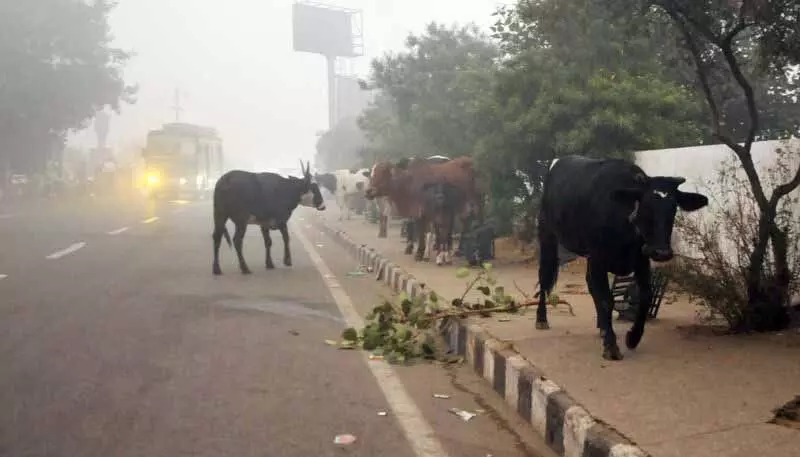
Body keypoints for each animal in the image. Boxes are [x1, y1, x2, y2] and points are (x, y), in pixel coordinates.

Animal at [536, 156, 708, 360]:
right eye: (646, 206)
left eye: (673, 208)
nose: (662, 252)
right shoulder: (599, 257)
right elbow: (606, 300)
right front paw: (611, 346)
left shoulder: (641, 259)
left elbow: (646, 296)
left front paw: (633, 337)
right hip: (547, 234)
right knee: (544, 277)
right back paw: (541, 319)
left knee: (590, 284)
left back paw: (602, 327)